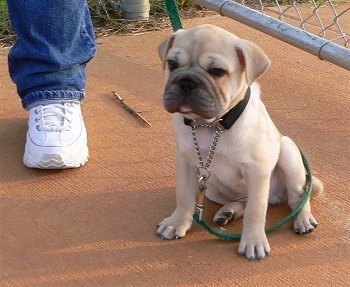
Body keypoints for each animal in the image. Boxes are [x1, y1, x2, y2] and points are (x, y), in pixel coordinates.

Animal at [156, 24, 322, 260]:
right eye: (172, 64)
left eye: (217, 71)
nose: (186, 82)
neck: (211, 125)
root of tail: (275, 197)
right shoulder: (184, 160)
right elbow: (184, 195)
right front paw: (177, 221)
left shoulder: (257, 170)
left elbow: (256, 210)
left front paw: (253, 241)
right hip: (213, 189)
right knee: (244, 201)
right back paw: (228, 212)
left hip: (289, 154)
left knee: (297, 198)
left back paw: (303, 219)